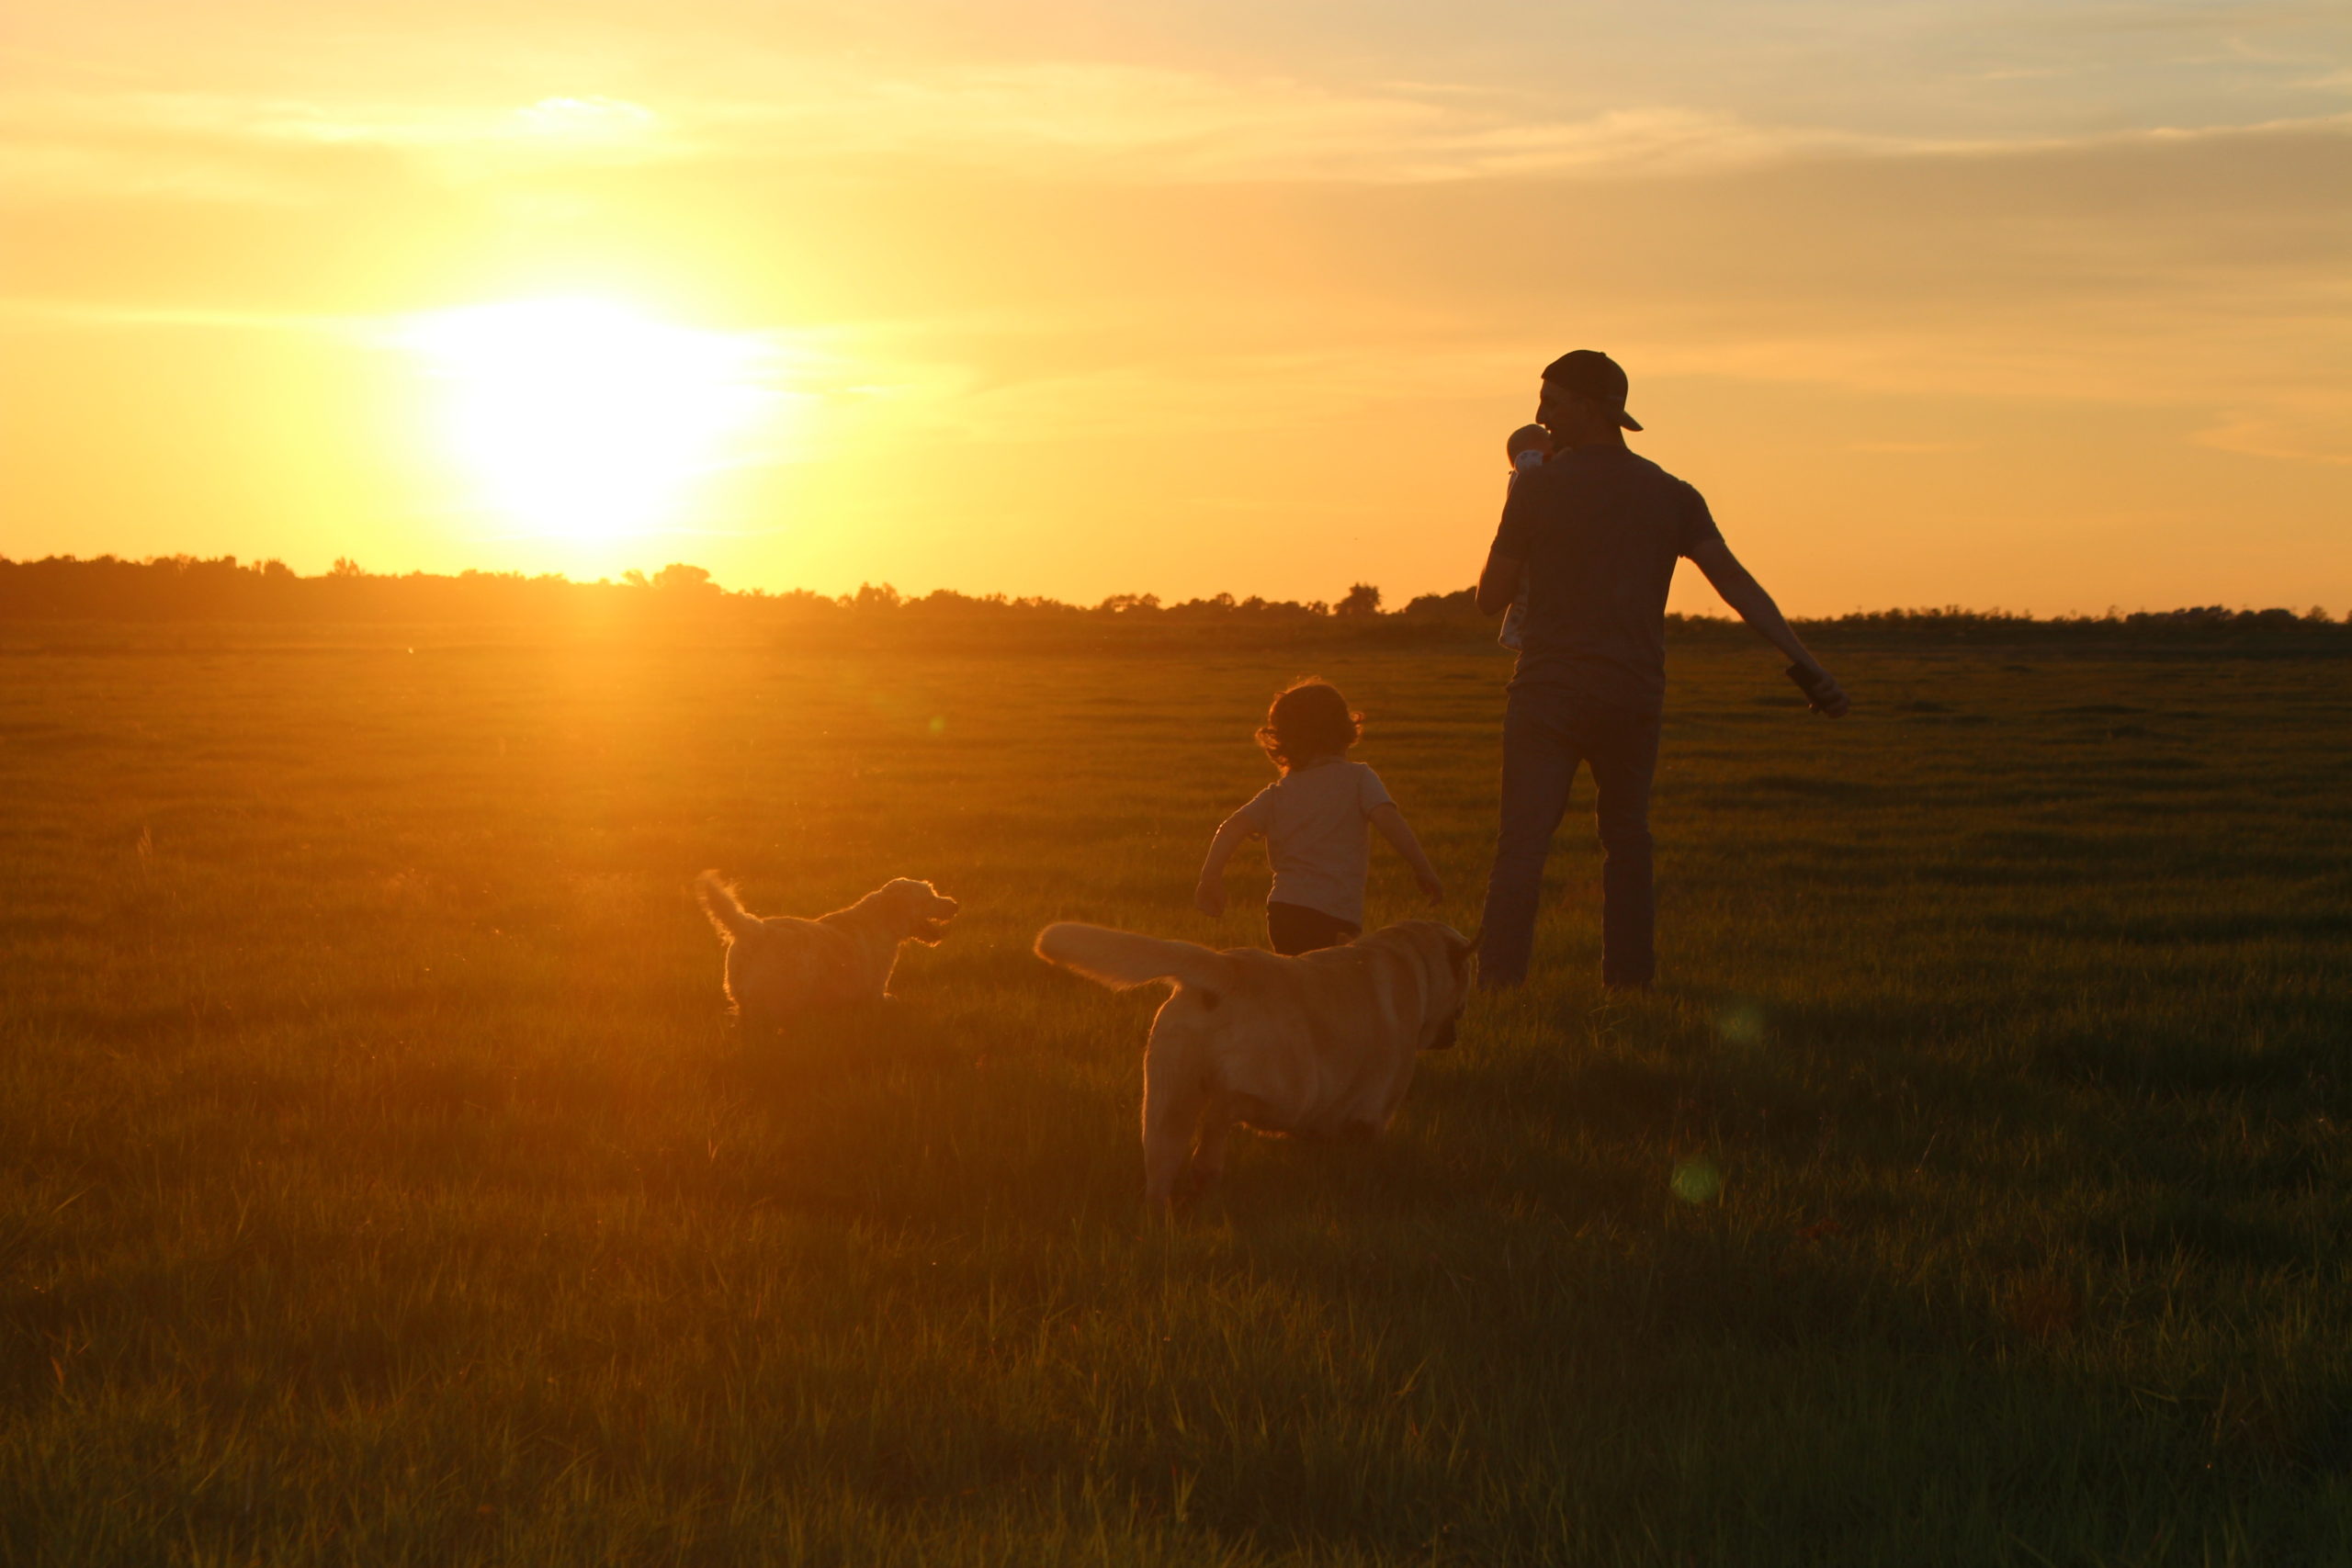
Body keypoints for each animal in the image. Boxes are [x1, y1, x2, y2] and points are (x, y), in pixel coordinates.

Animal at [695, 869, 955, 1029]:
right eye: (929, 896)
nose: (955, 904)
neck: (883, 920)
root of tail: (754, 929)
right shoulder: (875, 994)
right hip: (778, 1001)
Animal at [1035, 921, 1467, 1213]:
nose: (1455, 1036)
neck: (1411, 962)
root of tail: (1225, 966)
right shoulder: (1372, 1115)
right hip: (1292, 1090)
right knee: (1224, 1111)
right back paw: (1205, 1168)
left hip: (1164, 1102)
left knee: (1163, 1166)